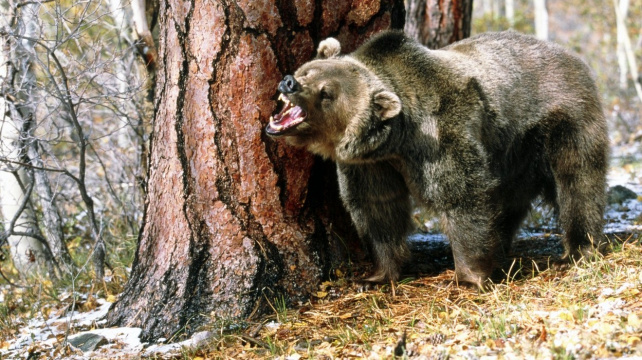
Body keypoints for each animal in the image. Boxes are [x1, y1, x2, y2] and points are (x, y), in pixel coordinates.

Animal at [264, 31, 604, 290]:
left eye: (327, 93)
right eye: (309, 71)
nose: (289, 82)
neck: (398, 142)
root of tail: (570, 56)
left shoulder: (442, 135)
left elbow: (462, 196)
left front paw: (469, 277)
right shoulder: (371, 165)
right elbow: (377, 209)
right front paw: (375, 276)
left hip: (560, 121)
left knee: (578, 180)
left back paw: (579, 249)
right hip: (511, 156)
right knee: (507, 201)